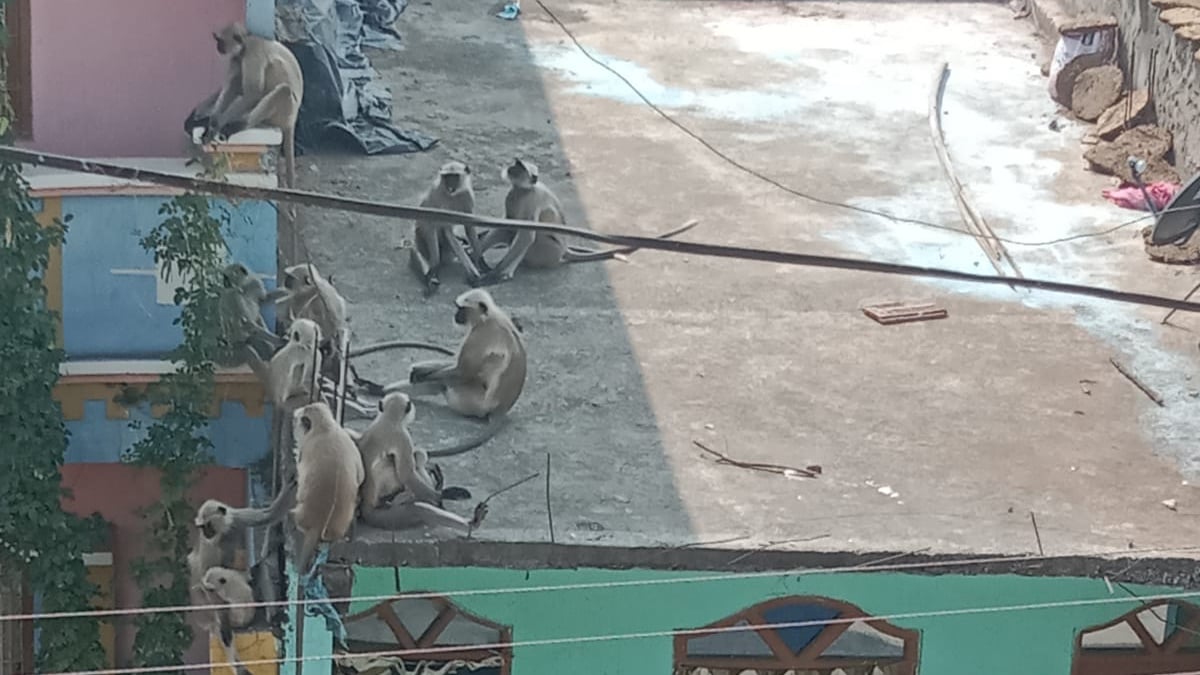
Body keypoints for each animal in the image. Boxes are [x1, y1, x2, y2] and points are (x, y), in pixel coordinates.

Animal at [188, 22, 304, 189]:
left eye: (220, 41)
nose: (218, 47)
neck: (246, 43)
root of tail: (291, 121)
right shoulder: (237, 57)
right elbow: (233, 86)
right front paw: (210, 122)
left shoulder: (252, 52)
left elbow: (253, 92)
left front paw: (216, 125)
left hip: (285, 112)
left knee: (283, 90)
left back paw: (240, 124)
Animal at [292, 402, 364, 576]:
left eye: (296, 420)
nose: (293, 423)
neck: (326, 429)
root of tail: (318, 524)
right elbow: (361, 475)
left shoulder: (306, 450)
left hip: (301, 515)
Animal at [378, 288, 525, 457]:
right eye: (457, 308)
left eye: (461, 309)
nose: (456, 315)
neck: (488, 317)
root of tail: (501, 408)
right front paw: (421, 369)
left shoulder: (479, 334)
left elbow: (462, 371)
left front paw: (420, 373)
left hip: (471, 401)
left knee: (444, 382)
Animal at [410, 161, 487, 294]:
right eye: (447, 177)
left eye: (454, 177)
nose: (450, 186)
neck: (453, 195)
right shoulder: (437, 194)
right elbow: (442, 228)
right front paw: (474, 274)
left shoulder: (467, 195)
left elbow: (469, 227)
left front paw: (479, 261)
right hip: (419, 235)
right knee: (422, 247)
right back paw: (432, 274)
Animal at [473, 158, 700, 285]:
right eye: (515, 165)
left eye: (520, 169)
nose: (512, 169)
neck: (522, 190)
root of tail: (564, 252)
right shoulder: (512, 197)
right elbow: (506, 225)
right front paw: (476, 255)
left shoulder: (531, 199)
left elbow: (526, 233)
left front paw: (497, 271)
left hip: (548, 251)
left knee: (531, 236)